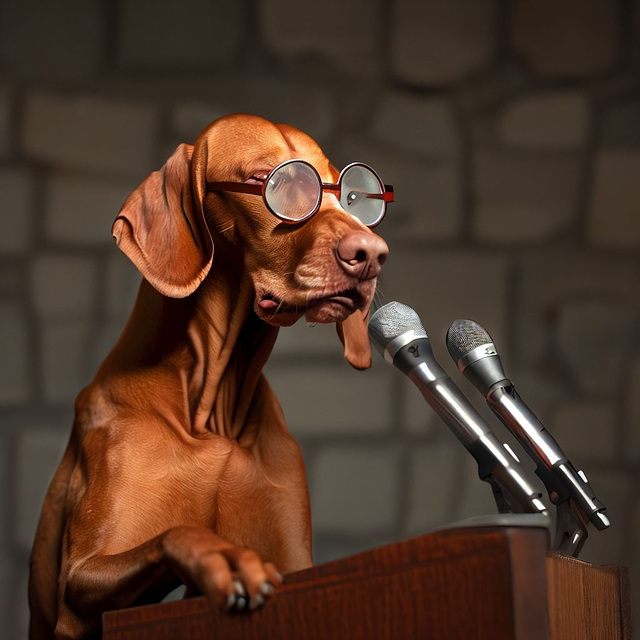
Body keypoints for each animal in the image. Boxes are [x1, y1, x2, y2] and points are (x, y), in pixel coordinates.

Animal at [27, 112, 390, 636]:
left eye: (352, 195)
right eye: (272, 181)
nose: (373, 253)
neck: (211, 411)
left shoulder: (297, 563)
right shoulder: (78, 588)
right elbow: (178, 532)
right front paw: (225, 556)